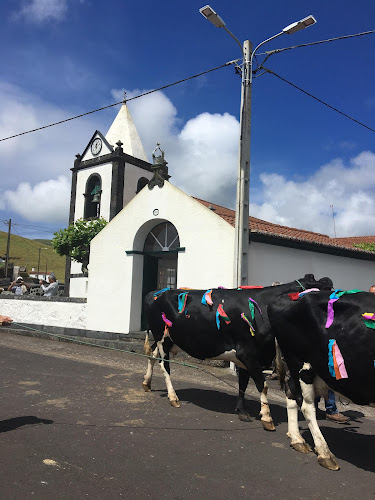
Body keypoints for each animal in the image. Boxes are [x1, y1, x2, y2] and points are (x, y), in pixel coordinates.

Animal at [142, 274, 334, 430]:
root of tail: (155, 292)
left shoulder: (247, 357)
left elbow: (243, 384)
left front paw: (242, 411)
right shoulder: (247, 353)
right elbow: (261, 385)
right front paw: (266, 417)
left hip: (168, 340)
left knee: (152, 355)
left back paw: (147, 383)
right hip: (162, 336)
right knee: (164, 365)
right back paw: (173, 397)